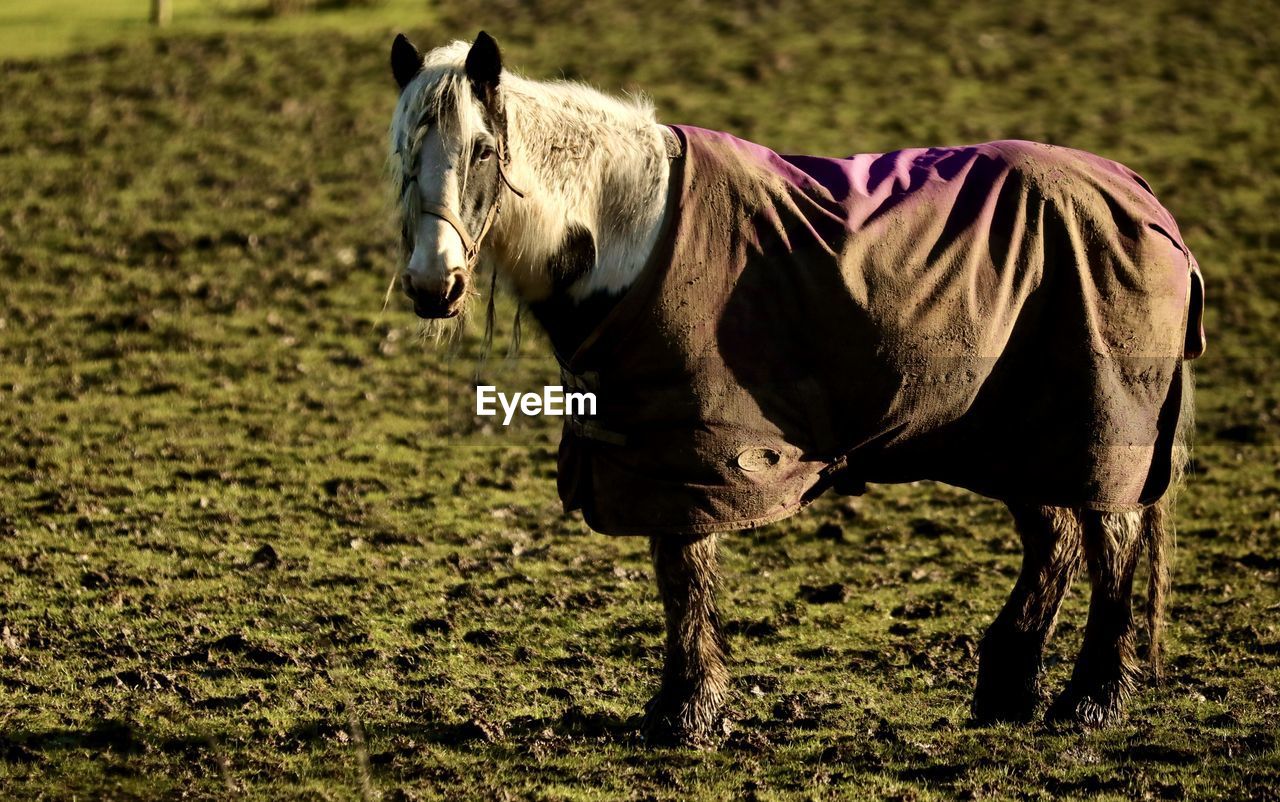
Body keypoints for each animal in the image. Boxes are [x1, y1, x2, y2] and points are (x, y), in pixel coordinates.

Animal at [384, 29, 1203, 746]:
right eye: (402, 156)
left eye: (483, 150)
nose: (432, 285)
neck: (632, 233)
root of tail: (1142, 200)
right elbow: (677, 572)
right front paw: (688, 704)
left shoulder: (692, 449)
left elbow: (682, 569)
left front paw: (687, 712)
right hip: (1015, 433)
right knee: (1054, 538)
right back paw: (1008, 688)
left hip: (1098, 427)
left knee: (1111, 541)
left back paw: (1091, 698)